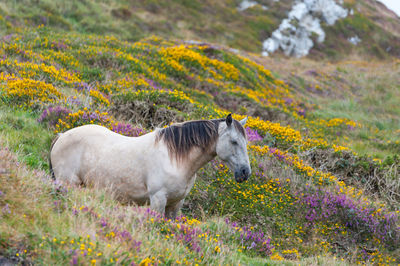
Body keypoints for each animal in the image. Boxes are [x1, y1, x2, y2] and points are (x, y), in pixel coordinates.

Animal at [49, 114, 250, 218]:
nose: (245, 172)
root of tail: (61, 136)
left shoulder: (176, 204)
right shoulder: (158, 199)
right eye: (234, 141)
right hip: (68, 183)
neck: (175, 158)